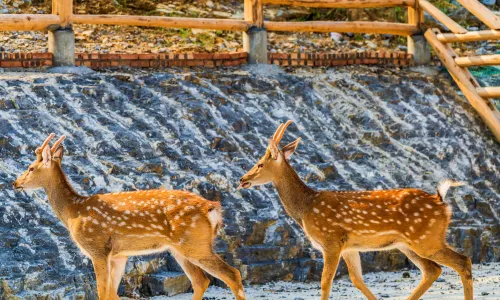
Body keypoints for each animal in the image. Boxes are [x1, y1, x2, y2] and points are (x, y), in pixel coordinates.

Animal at [11, 134, 246, 300]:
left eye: (30, 168)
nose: (15, 183)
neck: (74, 212)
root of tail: (212, 208)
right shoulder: (119, 255)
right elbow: (112, 294)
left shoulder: (97, 248)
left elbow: (102, 292)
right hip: (180, 248)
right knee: (201, 281)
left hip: (195, 244)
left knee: (232, 274)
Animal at [238, 120, 472, 300]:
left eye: (260, 164)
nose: (242, 179)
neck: (306, 208)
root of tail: (440, 200)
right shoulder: (349, 247)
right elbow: (356, 280)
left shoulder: (331, 240)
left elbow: (325, 282)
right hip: (409, 243)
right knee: (433, 270)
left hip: (427, 239)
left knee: (463, 262)